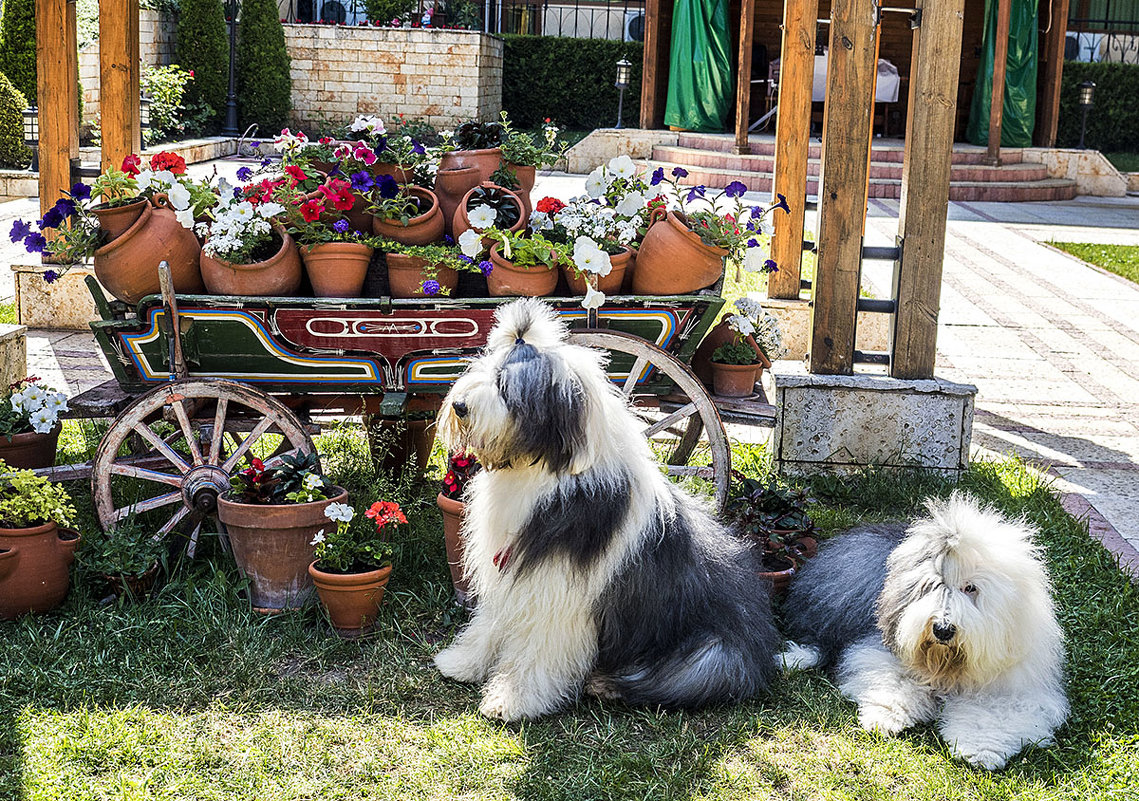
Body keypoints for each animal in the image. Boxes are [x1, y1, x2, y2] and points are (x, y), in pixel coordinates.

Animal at [430, 298, 779, 724]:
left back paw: (606, 685)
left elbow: (539, 648)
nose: (459, 406)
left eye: (505, 386)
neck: (543, 470)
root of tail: (761, 652)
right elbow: (490, 622)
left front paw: (513, 700)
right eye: (482, 369)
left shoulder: (556, 587)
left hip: (709, 656)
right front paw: (462, 663)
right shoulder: (512, 569)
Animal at [783, 494, 1066, 770]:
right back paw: (794, 658)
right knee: (818, 633)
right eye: (932, 585)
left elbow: (992, 714)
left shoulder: (1012, 688)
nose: (942, 629)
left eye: (970, 588)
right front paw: (883, 716)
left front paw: (981, 751)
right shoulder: (885, 651)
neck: (947, 665)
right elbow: (895, 681)